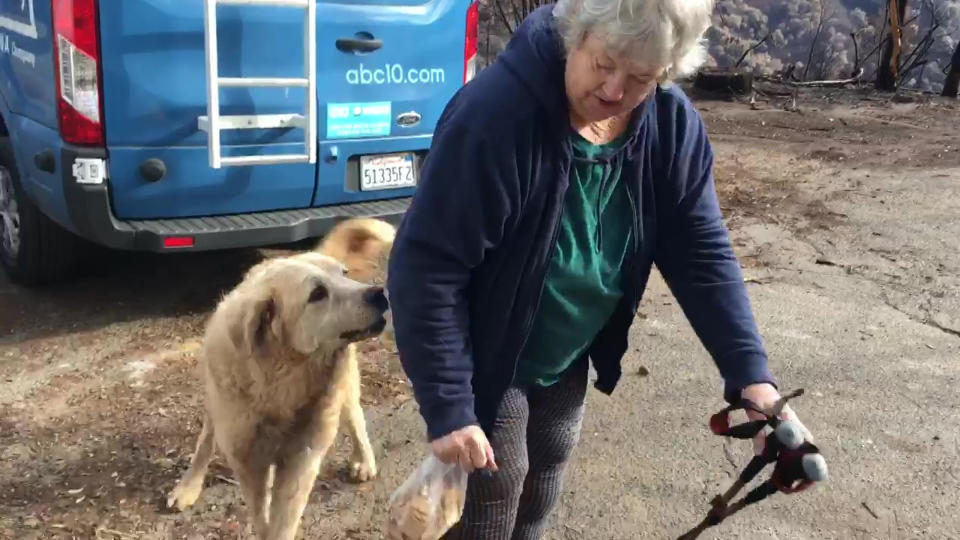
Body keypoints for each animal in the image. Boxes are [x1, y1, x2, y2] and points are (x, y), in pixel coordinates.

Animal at [169, 218, 398, 540]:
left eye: (344, 274)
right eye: (317, 294)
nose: (379, 293)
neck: (282, 383)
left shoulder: (302, 458)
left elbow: (282, 520)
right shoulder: (247, 461)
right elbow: (261, 513)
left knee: (354, 415)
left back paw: (363, 459)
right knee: (207, 438)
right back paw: (189, 484)